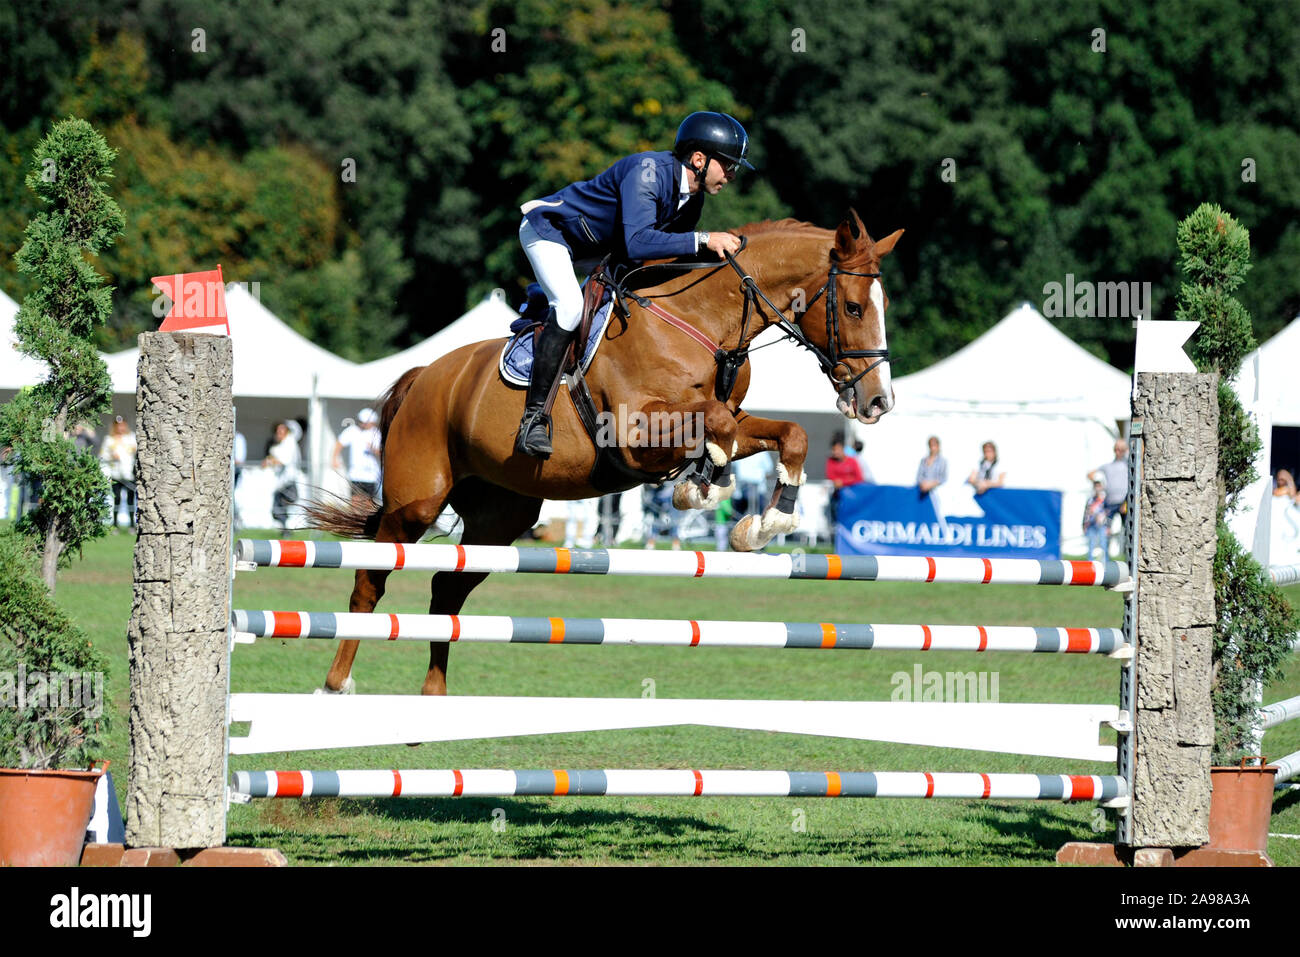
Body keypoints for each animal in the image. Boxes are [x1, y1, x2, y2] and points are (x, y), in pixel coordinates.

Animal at [312, 210, 904, 696]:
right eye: (854, 307)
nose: (878, 402)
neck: (702, 321)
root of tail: (423, 376)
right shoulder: (633, 432)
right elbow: (713, 427)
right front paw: (702, 485)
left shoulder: (733, 419)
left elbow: (786, 434)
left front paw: (763, 522)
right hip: (416, 503)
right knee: (371, 581)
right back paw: (336, 684)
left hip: (500, 518)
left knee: (446, 591)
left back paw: (432, 696)